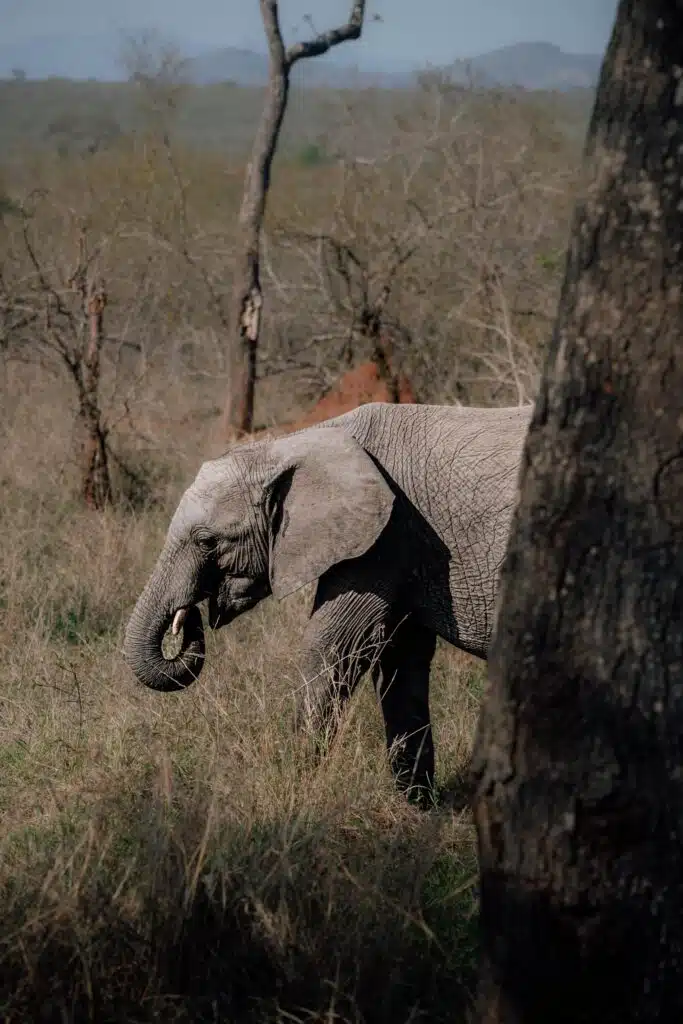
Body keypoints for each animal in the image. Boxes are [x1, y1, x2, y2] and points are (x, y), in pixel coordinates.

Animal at [123, 401, 531, 805]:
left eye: (207, 541)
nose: (188, 614)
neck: (292, 446)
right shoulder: (402, 546)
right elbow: (400, 655)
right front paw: (418, 805)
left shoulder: (384, 538)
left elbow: (333, 644)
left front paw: (294, 784)